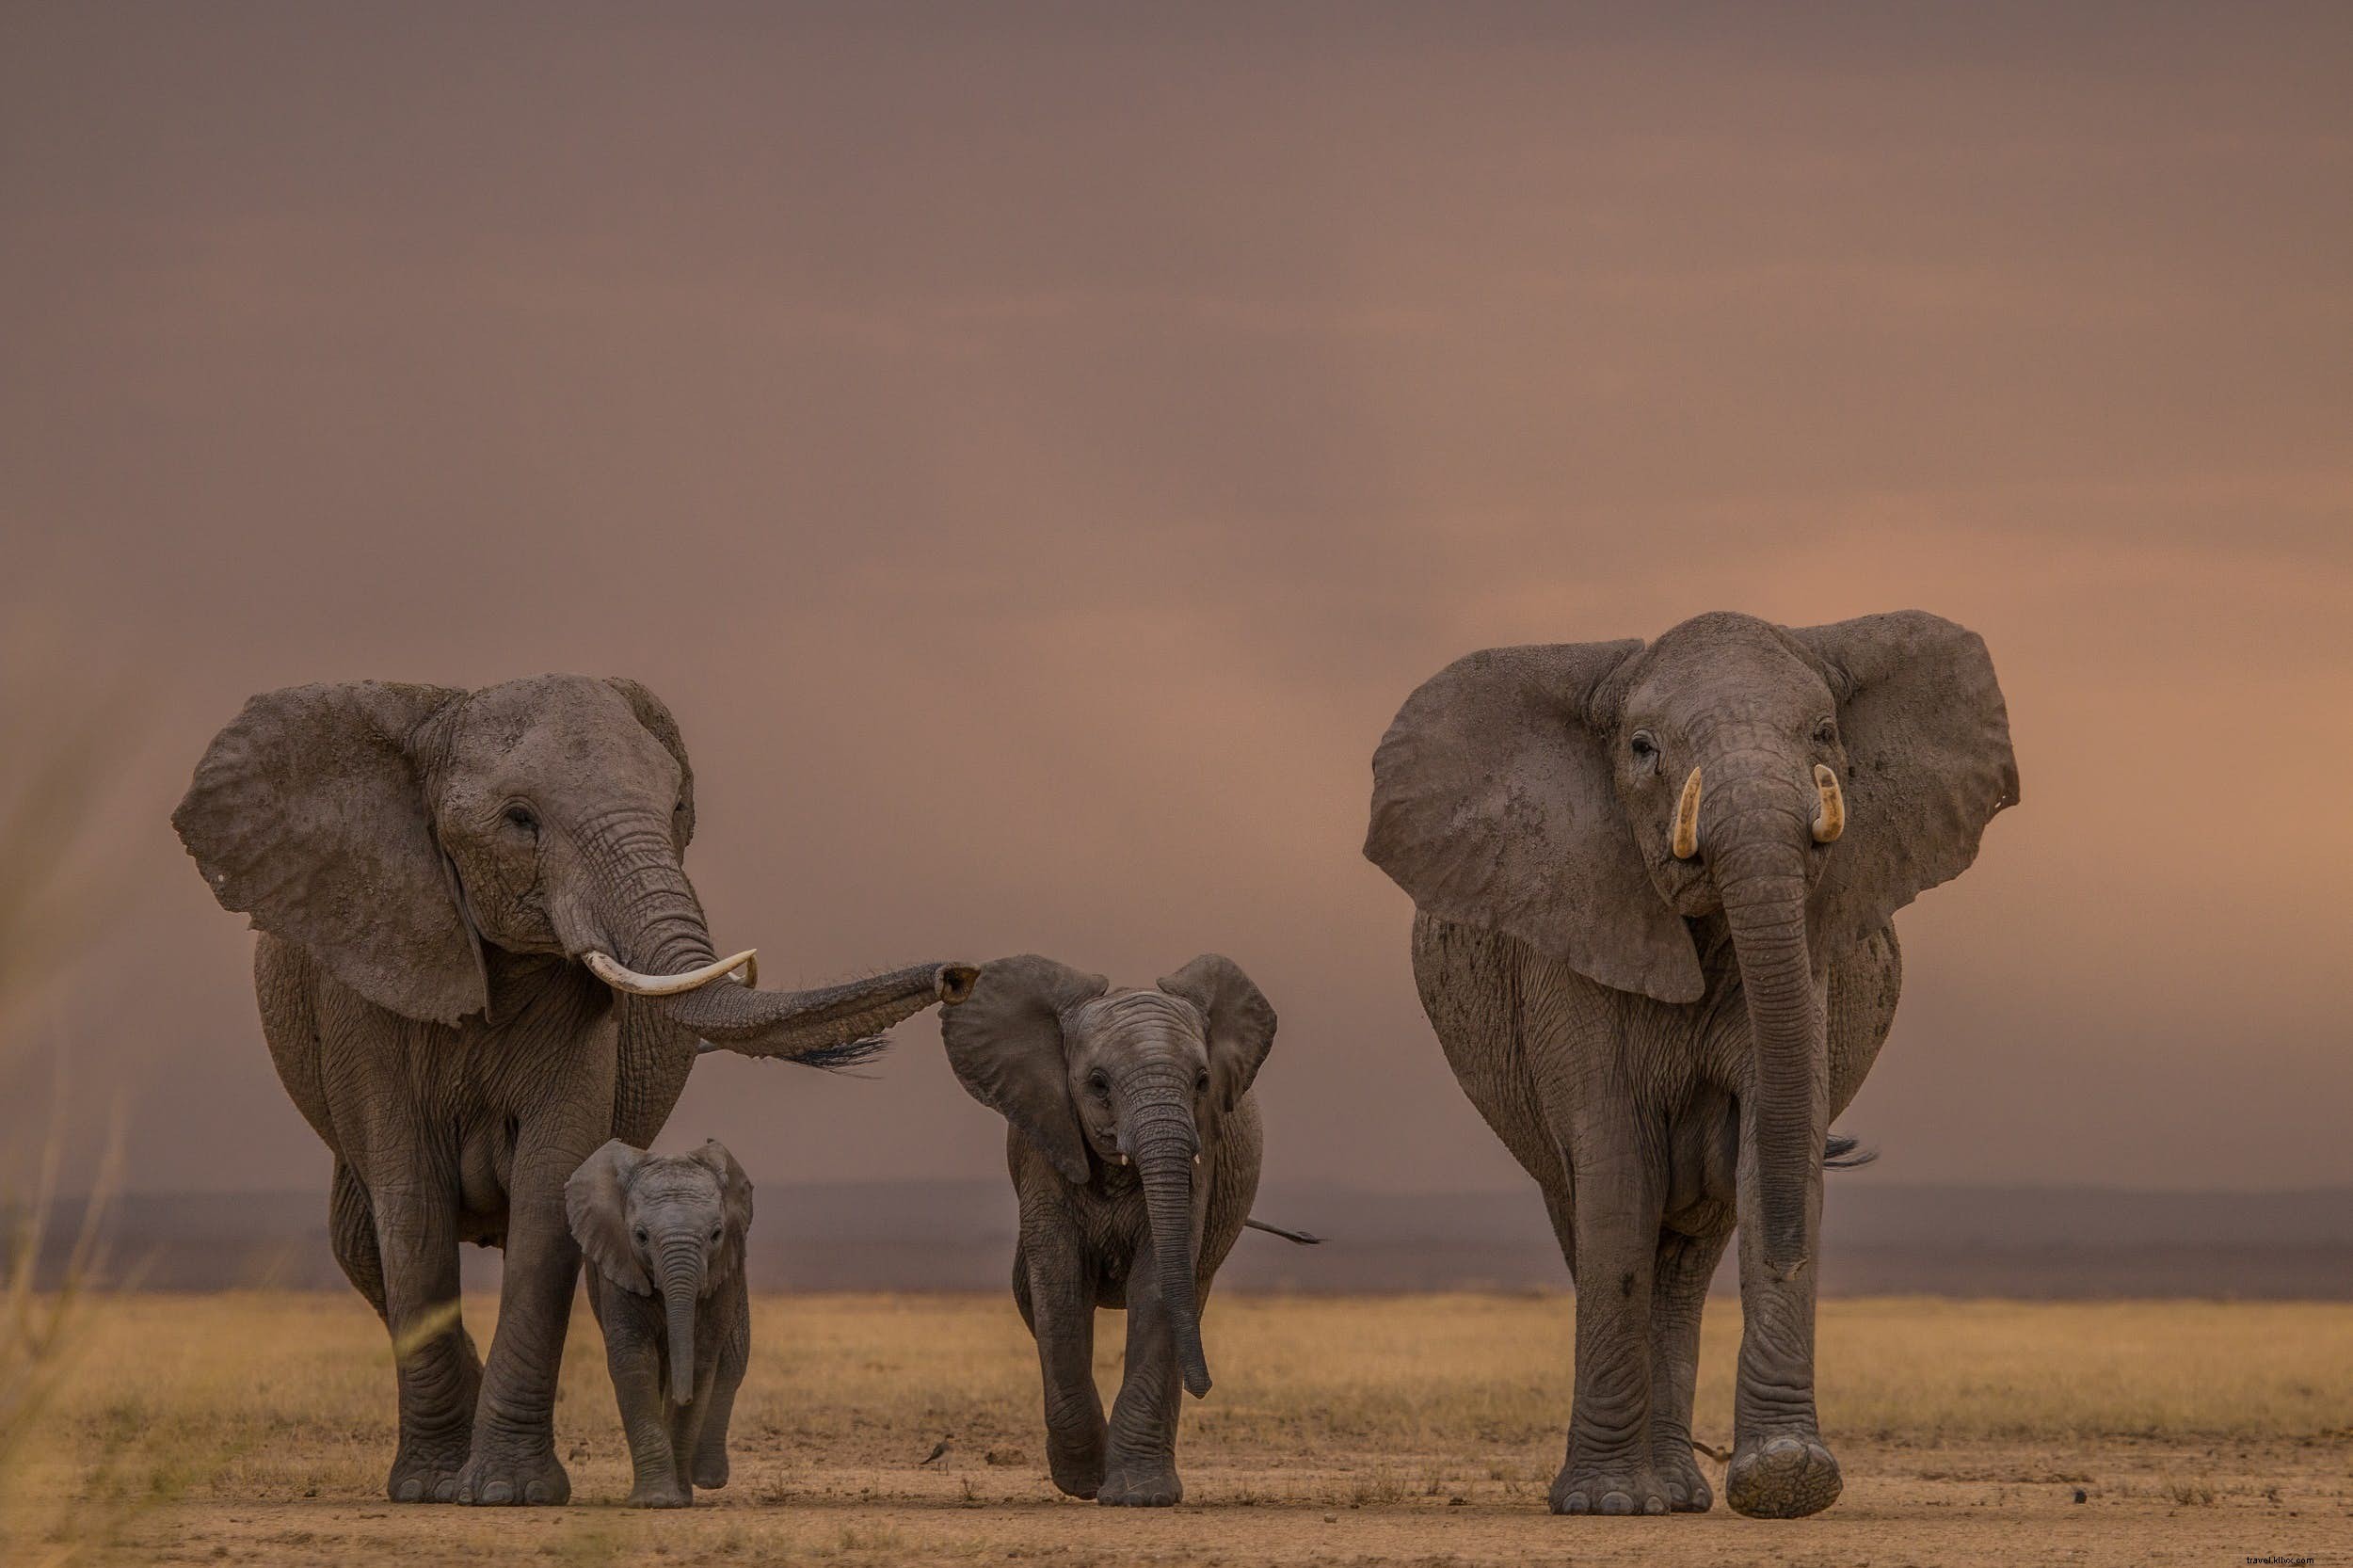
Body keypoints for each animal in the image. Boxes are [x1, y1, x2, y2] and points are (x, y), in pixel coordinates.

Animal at [567, 1138, 752, 1508]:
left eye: (716, 1234)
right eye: (640, 1236)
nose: (684, 1398)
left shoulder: (723, 1277)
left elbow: (702, 1361)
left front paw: (677, 1497)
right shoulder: (617, 1264)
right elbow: (634, 1362)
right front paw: (656, 1500)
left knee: (732, 1364)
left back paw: (707, 1479)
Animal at [937, 953, 1279, 1507]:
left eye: (1202, 1082)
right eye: (1098, 1084)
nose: (1206, 1387)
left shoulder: (1202, 1155)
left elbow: (1159, 1282)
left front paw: (1140, 1496)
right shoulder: (1045, 1143)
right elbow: (1058, 1284)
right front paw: (1082, 1483)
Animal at [1364, 610, 2016, 1519]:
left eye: (1825, 733)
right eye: (1642, 749)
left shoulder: (1811, 954)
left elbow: (1774, 1143)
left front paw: (1787, 1478)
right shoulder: (1572, 940)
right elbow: (1615, 1172)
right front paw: (1603, 1504)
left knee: (1691, 1258)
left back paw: (1676, 1492)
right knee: (1595, 1220)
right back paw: (1641, 1492)